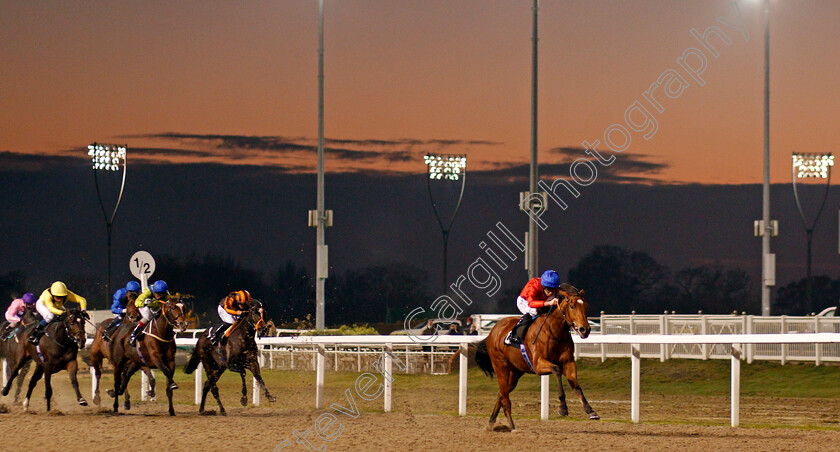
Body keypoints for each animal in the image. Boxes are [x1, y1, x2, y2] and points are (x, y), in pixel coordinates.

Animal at [476, 282, 600, 430]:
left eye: (586, 306)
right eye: (572, 306)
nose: (585, 330)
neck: (554, 332)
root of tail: (493, 331)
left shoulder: (568, 362)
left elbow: (577, 386)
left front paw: (590, 410)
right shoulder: (538, 364)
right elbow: (557, 370)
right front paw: (563, 408)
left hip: (515, 372)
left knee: (501, 394)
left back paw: (491, 422)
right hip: (500, 367)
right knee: (505, 398)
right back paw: (511, 425)